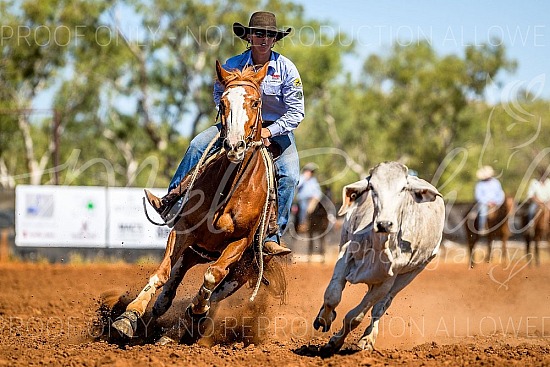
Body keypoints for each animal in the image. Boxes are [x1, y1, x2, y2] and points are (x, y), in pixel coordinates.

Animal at [112, 60, 284, 344]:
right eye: (223, 102)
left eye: (256, 102)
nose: (234, 145)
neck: (228, 191)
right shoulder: (183, 231)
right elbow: (162, 273)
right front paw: (129, 316)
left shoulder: (239, 243)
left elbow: (212, 277)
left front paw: (196, 309)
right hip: (198, 249)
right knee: (175, 279)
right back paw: (163, 316)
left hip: (242, 270)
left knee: (215, 292)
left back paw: (182, 326)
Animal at [312, 161, 446, 356]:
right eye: (372, 187)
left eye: (403, 188)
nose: (384, 224)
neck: (378, 248)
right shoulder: (346, 253)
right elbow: (332, 296)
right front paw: (324, 319)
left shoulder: (388, 280)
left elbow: (355, 317)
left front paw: (335, 342)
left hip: (410, 275)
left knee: (381, 306)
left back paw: (368, 338)